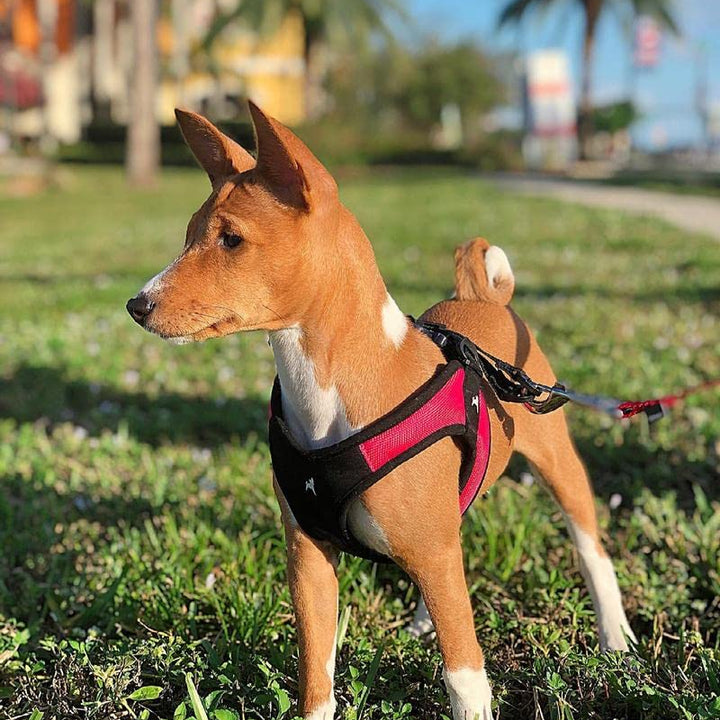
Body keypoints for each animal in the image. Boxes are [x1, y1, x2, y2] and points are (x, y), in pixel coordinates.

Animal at [126, 102, 632, 720]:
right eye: (190, 236)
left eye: (231, 240)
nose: (137, 305)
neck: (327, 402)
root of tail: (484, 300)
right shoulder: (310, 562)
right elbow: (315, 679)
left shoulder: (434, 561)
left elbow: (465, 677)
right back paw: (422, 621)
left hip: (558, 465)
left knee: (590, 553)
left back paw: (615, 639)